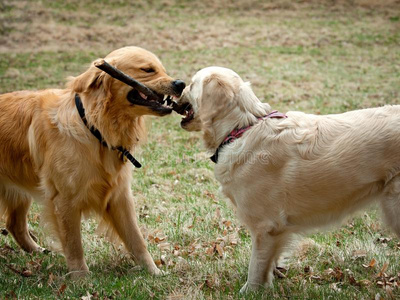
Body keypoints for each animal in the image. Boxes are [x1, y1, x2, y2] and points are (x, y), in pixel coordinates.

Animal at [0, 46, 184, 276]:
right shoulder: (65, 200)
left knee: (14, 224)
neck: (95, 126)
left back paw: (38, 251)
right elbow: (74, 244)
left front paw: (153, 272)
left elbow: (137, 239)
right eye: (148, 70)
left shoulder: (120, 196)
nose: (181, 84)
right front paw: (81, 277)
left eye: (162, 69)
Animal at [177, 66, 400, 292]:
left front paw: (250, 291)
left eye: (192, 84)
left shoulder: (265, 227)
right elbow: (270, 263)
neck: (241, 128)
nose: (180, 86)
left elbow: (256, 267)